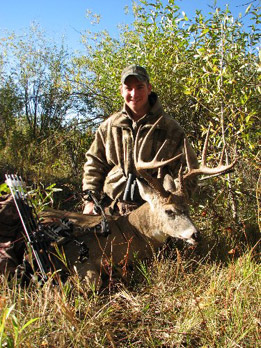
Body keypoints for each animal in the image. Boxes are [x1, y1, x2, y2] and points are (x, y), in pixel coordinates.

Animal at [40, 118, 236, 290]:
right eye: (169, 211)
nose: (196, 234)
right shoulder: (78, 256)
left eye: (187, 208)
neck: (135, 231)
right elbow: (91, 282)